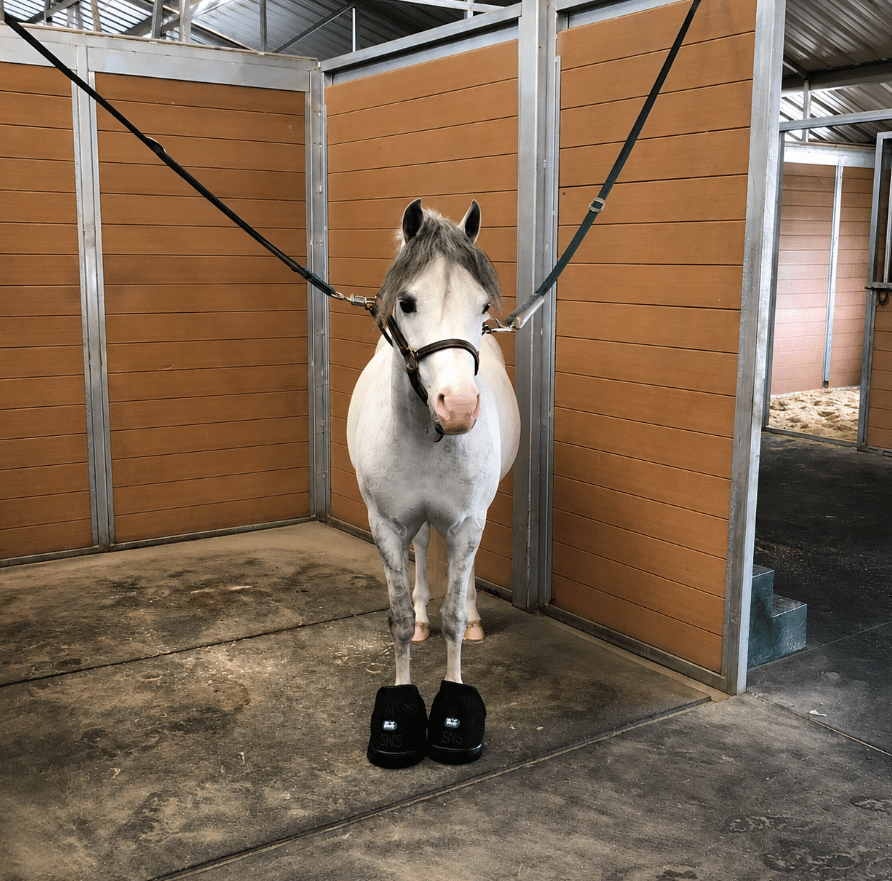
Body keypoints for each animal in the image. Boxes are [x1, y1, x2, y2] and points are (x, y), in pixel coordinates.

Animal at [347, 199, 520, 768]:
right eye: (407, 301)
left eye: (483, 306)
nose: (459, 408)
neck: (426, 432)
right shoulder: (385, 523)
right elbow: (399, 616)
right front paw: (401, 702)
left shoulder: (467, 519)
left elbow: (455, 609)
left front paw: (455, 700)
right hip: (412, 523)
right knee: (423, 547)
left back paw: (474, 615)